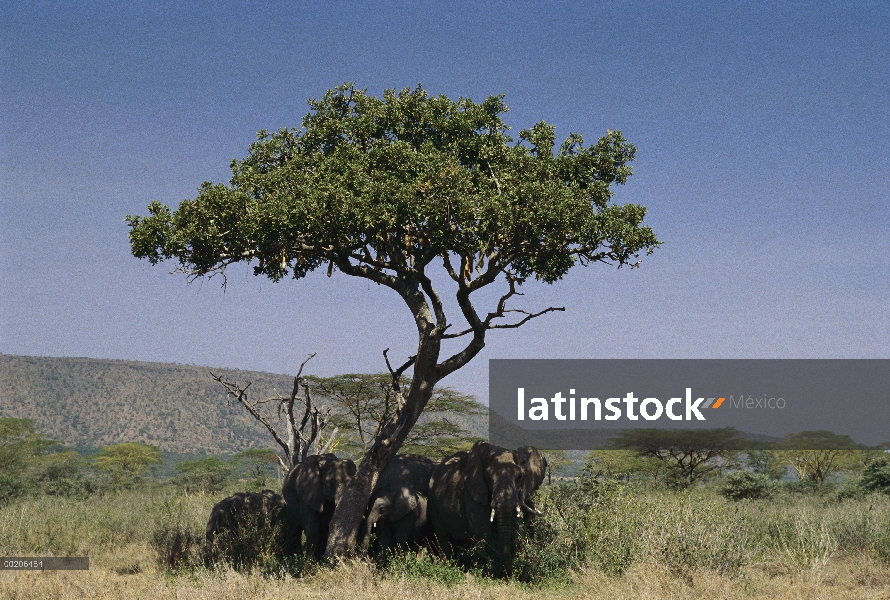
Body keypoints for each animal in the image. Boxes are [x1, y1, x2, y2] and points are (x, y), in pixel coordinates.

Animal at [426, 440, 544, 576]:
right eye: (489, 477)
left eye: (519, 477)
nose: (507, 575)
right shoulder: (472, 494)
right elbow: (482, 532)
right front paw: (482, 574)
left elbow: (514, 529)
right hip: (433, 502)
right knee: (443, 537)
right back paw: (449, 566)